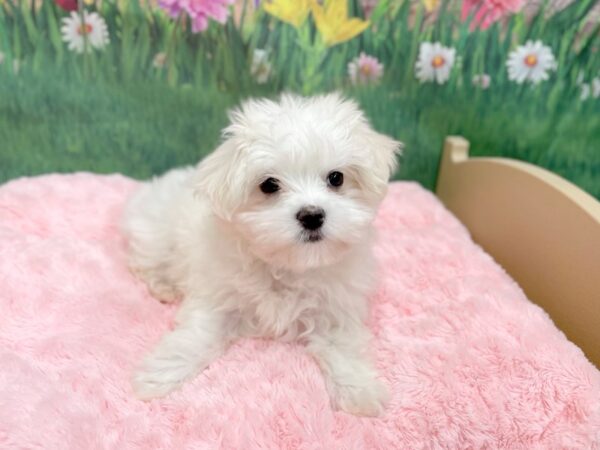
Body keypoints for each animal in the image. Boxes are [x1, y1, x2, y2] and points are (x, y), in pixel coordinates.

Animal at [122, 93, 400, 416]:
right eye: (269, 185)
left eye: (336, 178)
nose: (312, 215)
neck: (289, 265)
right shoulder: (219, 297)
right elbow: (198, 335)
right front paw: (158, 376)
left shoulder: (336, 309)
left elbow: (343, 348)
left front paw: (360, 392)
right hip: (154, 235)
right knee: (145, 263)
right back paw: (164, 287)